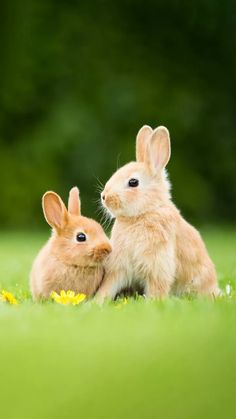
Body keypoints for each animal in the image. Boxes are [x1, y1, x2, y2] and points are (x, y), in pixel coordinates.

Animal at [95, 124, 219, 302]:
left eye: (133, 182)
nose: (104, 196)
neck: (144, 212)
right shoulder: (119, 266)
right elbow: (108, 286)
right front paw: (96, 302)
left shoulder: (158, 265)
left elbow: (157, 287)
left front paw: (153, 303)